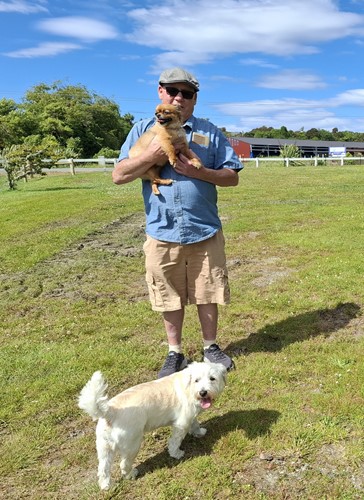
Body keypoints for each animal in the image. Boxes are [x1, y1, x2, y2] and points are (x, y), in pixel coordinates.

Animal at [78, 362, 226, 490]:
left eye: (212, 378)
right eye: (197, 380)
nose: (203, 392)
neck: (188, 386)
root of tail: (110, 412)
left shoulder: (190, 416)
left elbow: (195, 424)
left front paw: (199, 432)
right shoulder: (182, 423)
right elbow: (175, 441)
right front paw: (177, 454)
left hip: (104, 448)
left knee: (103, 469)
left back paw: (106, 486)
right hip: (132, 446)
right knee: (124, 464)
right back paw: (131, 474)